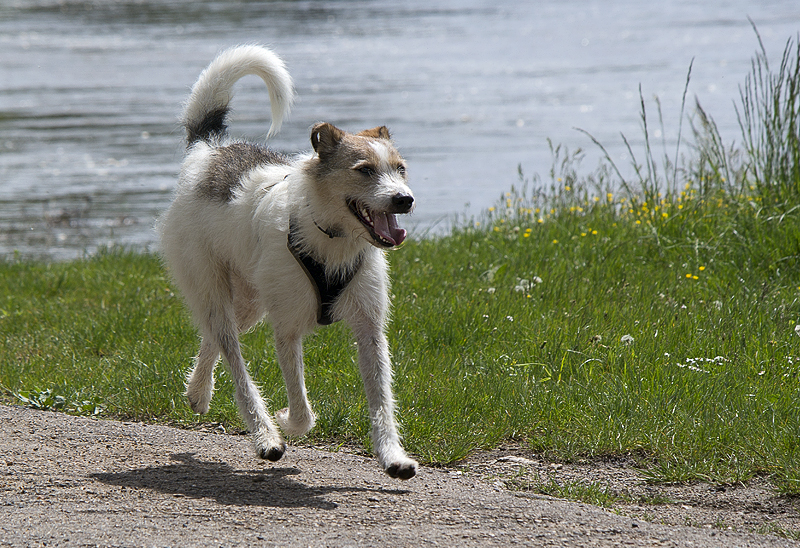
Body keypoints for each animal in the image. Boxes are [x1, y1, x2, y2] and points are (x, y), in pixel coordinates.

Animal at [157, 46, 418, 480]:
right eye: (364, 170)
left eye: (400, 169)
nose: (404, 199)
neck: (332, 238)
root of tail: (207, 150)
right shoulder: (287, 330)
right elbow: (301, 408)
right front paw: (285, 421)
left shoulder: (370, 331)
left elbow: (382, 400)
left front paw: (393, 456)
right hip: (211, 286)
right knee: (233, 359)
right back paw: (265, 436)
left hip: (249, 300)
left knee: (214, 337)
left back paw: (197, 392)